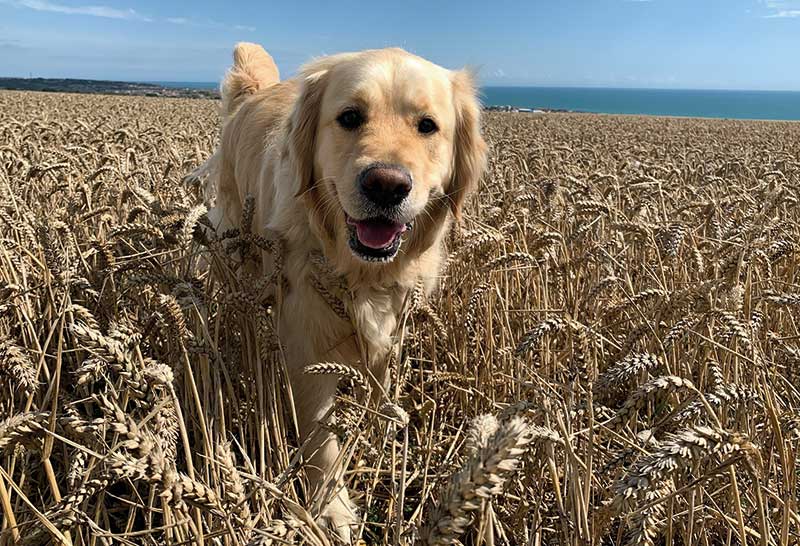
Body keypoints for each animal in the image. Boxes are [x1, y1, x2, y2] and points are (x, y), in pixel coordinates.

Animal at [200, 41, 488, 536]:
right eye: (350, 117)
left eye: (427, 125)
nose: (386, 185)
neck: (360, 274)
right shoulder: (306, 343)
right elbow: (321, 439)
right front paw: (331, 509)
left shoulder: (394, 321)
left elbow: (382, 386)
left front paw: (384, 431)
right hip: (235, 247)